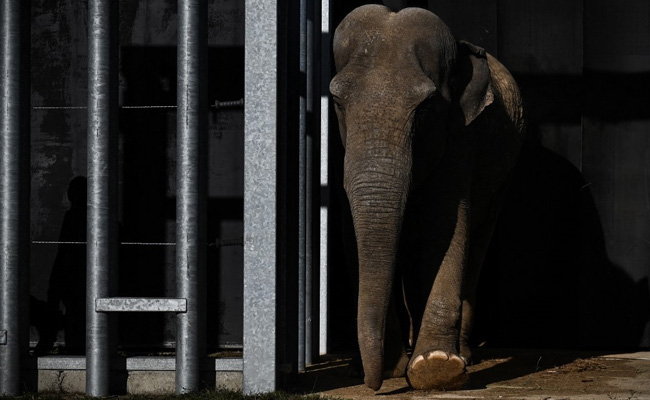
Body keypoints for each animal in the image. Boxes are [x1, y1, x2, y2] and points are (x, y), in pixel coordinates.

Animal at [330, 5, 525, 392]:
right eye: (338, 102)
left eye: (427, 106)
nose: (374, 386)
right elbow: (351, 233)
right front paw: (384, 367)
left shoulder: (462, 136)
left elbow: (446, 225)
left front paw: (436, 367)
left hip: (502, 181)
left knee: (476, 244)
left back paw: (461, 355)